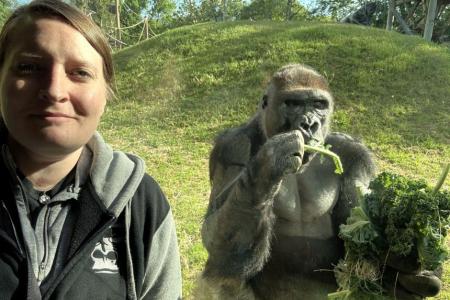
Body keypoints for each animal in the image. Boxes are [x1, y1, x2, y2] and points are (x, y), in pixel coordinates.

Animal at [198, 64, 442, 298]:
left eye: (319, 104)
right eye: (293, 104)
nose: (309, 124)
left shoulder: (355, 154)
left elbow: (357, 231)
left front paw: (404, 253)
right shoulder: (232, 146)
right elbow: (216, 240)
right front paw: (267, 167)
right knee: (224, 274)